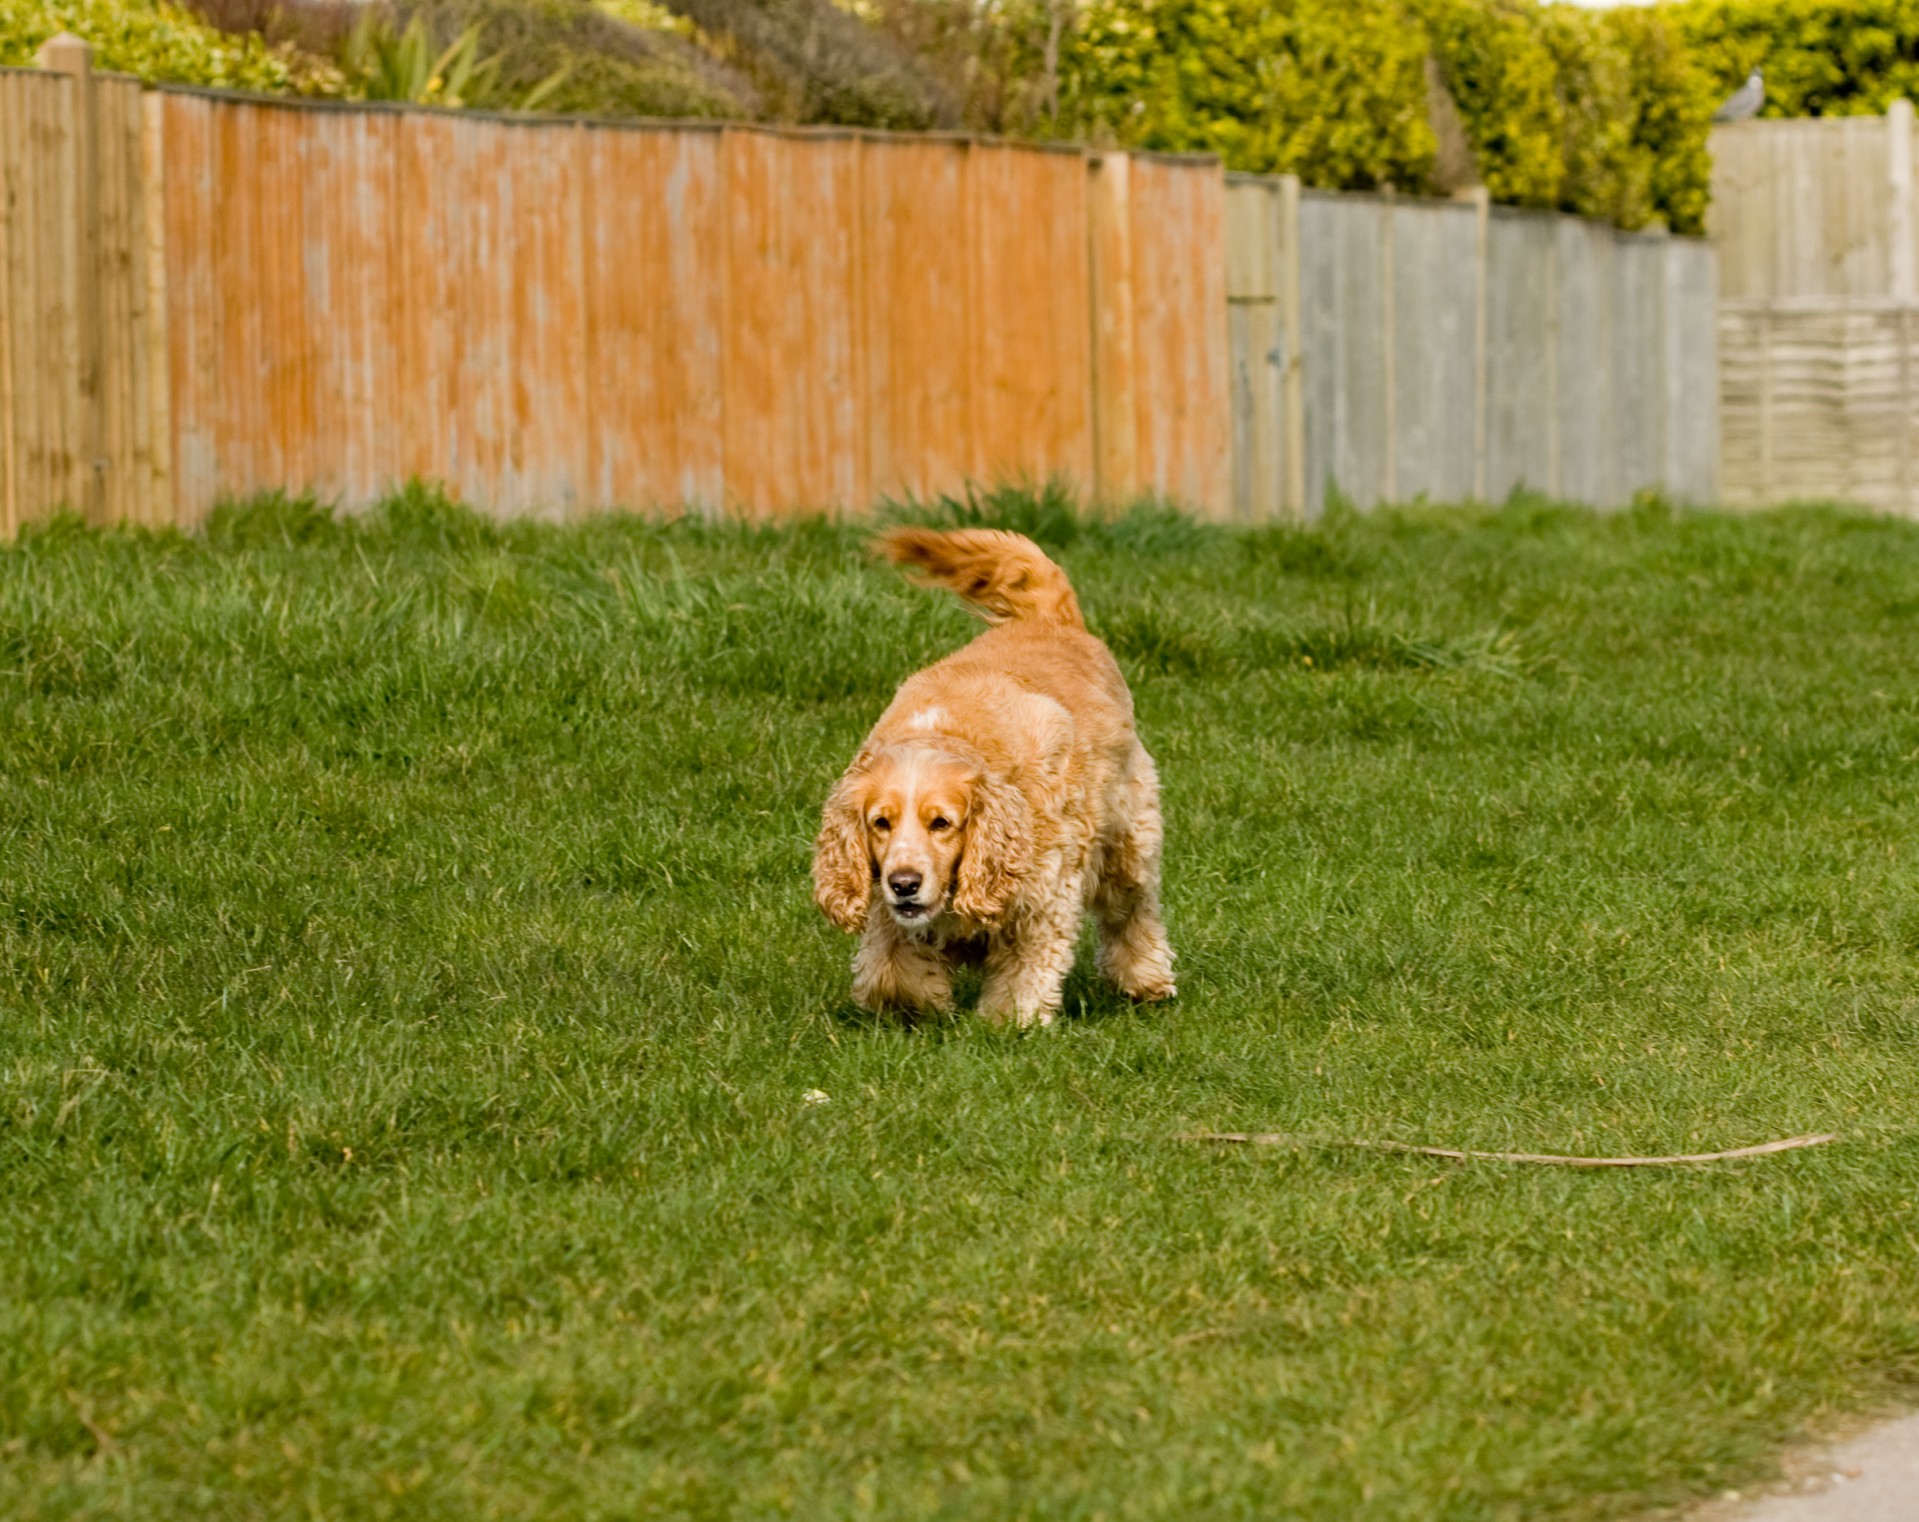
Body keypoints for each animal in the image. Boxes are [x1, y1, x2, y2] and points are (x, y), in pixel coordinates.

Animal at [805, 529, 1166, 1028]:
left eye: (941, 823)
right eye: (880, 823)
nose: (904, 883)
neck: (947, 734)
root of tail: (1054, 621)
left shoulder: (1043, 894)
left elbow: (1023, 973)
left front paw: (1008, 1023)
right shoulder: (887, 912)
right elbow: (890, 974)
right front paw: (921, 1002)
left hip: (1127, 839)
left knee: (1132, 912)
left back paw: (1145, 980)